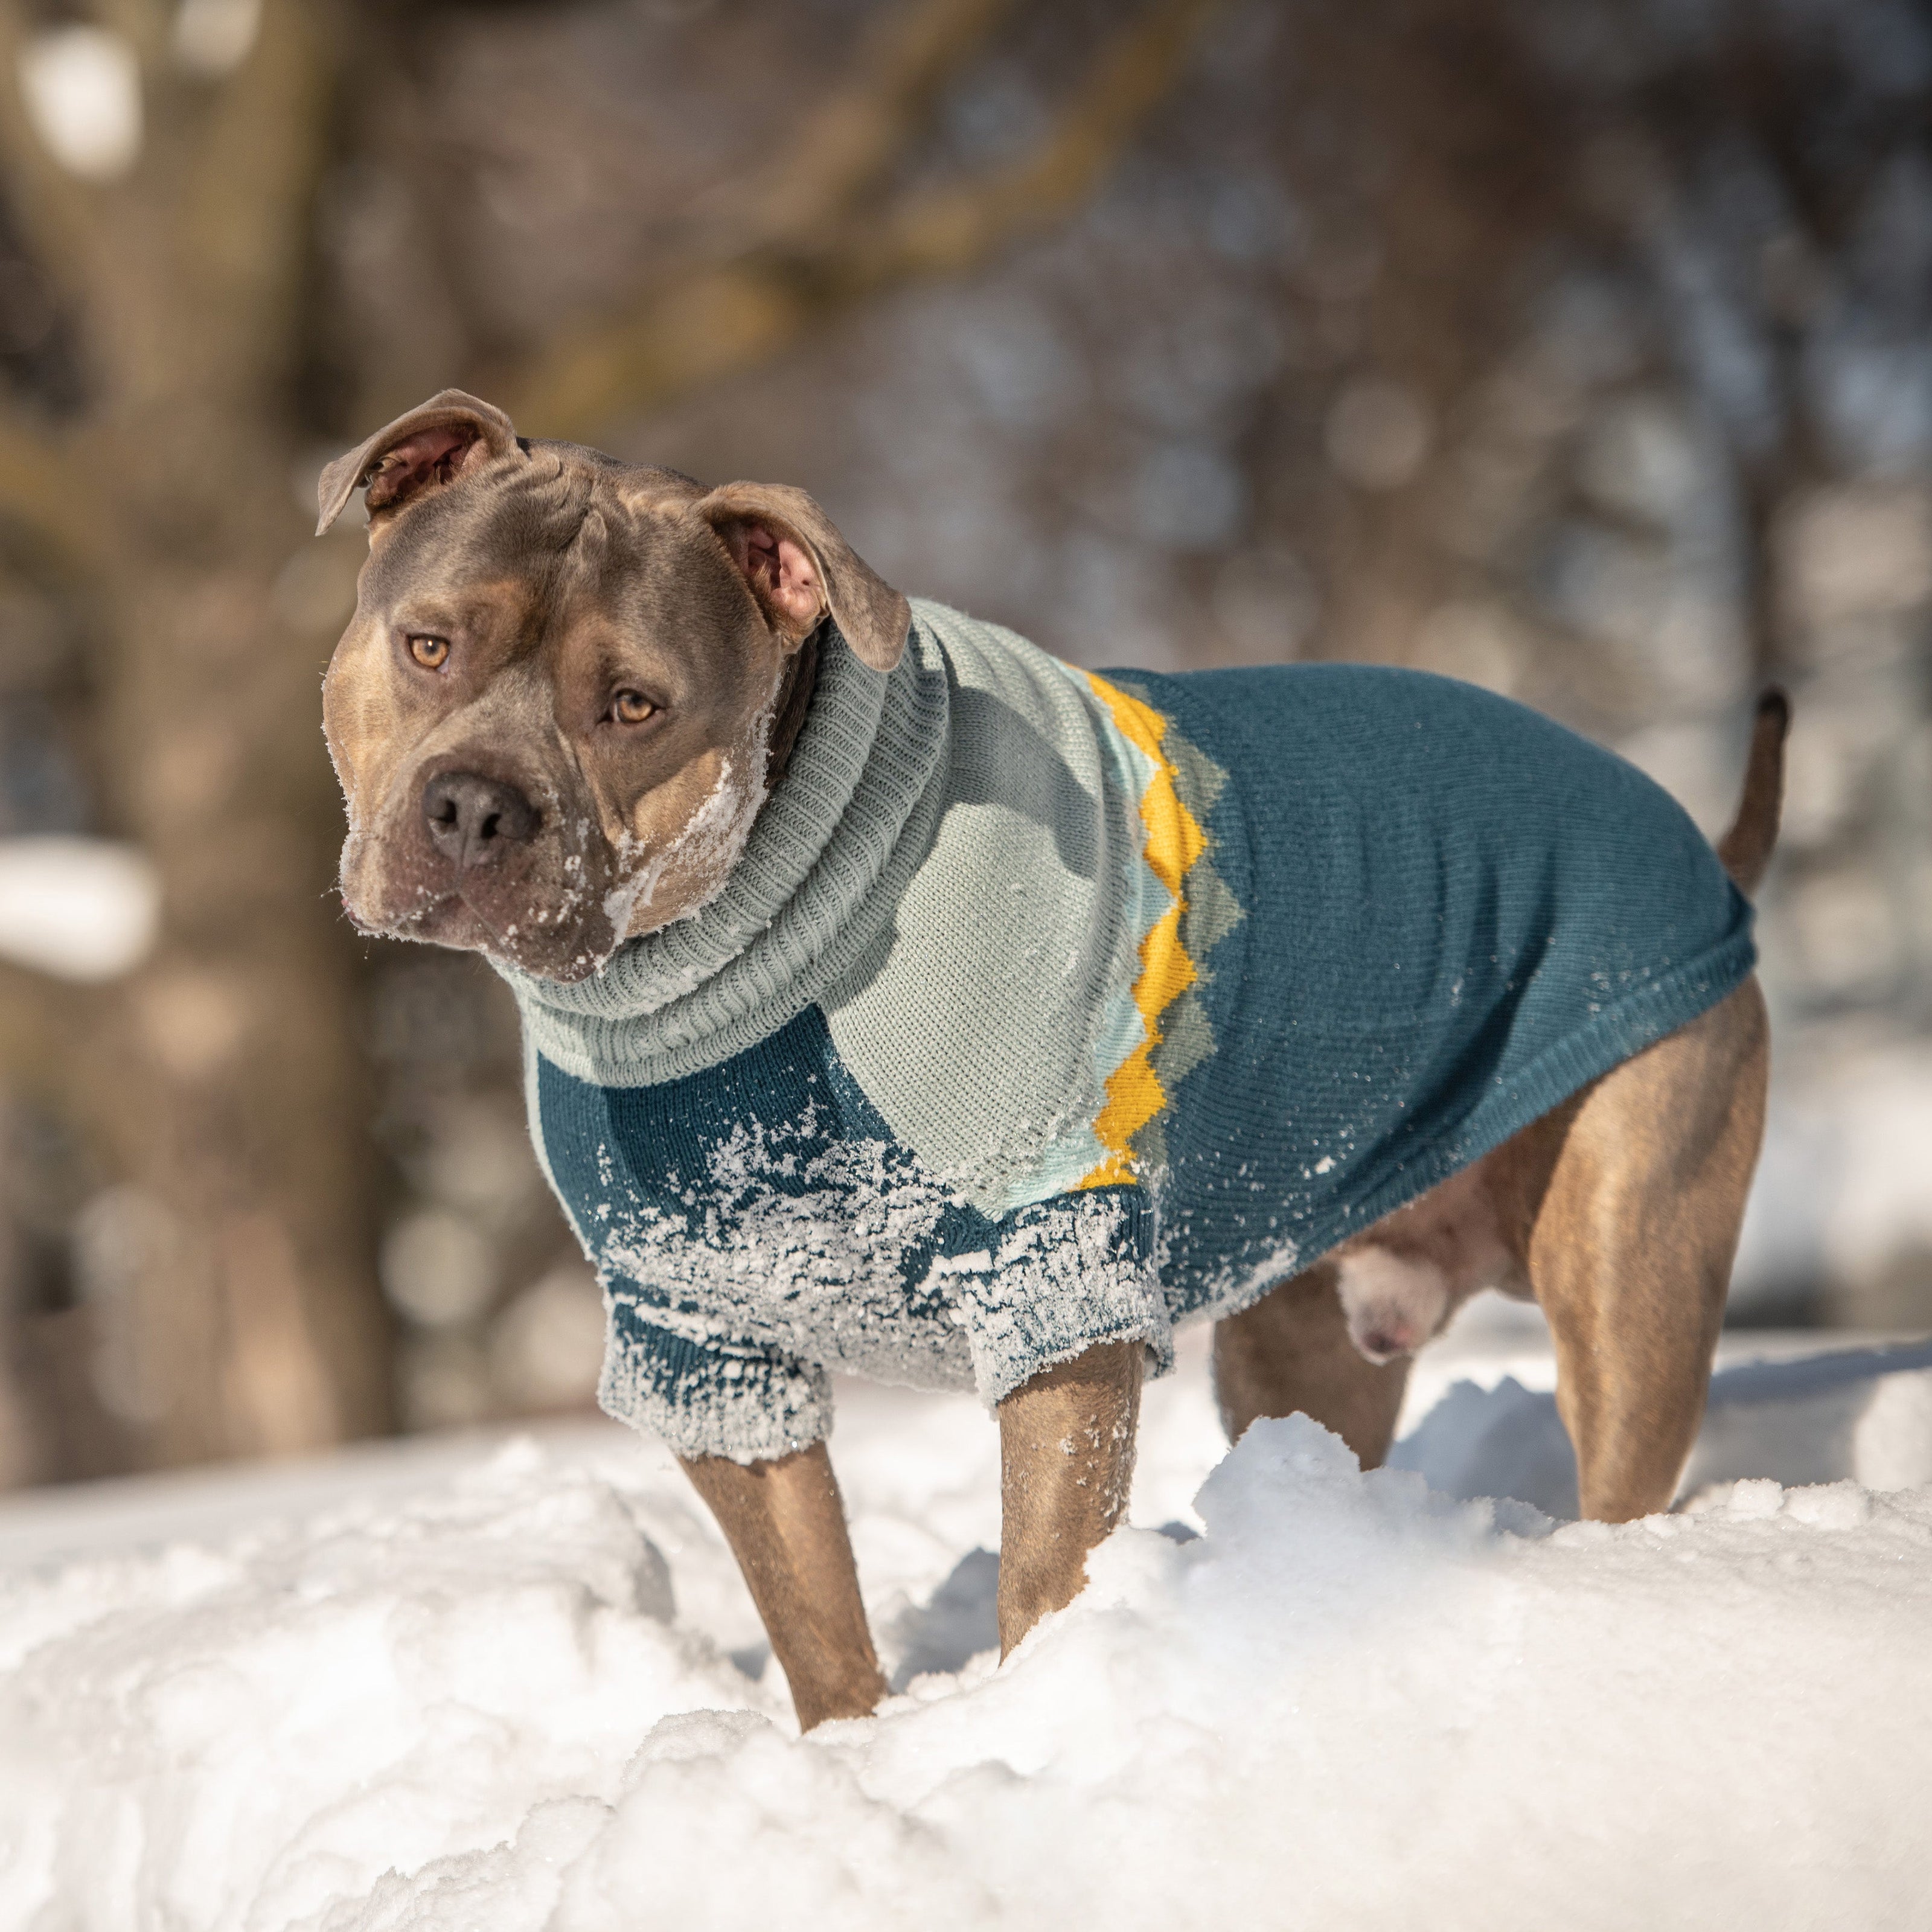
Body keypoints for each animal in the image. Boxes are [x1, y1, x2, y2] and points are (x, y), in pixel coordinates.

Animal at [313, 384, 1777, 1731]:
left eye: (632, 704)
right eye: (428, 644)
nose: (473, 806)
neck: (759, 934)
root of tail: (1705, 848)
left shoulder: (1050, 1268)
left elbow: (1043, 1569)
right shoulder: (703, 1334)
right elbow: (811, 1613)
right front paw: (853, 1754)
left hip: (1627, 1253)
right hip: (1303, 1339)